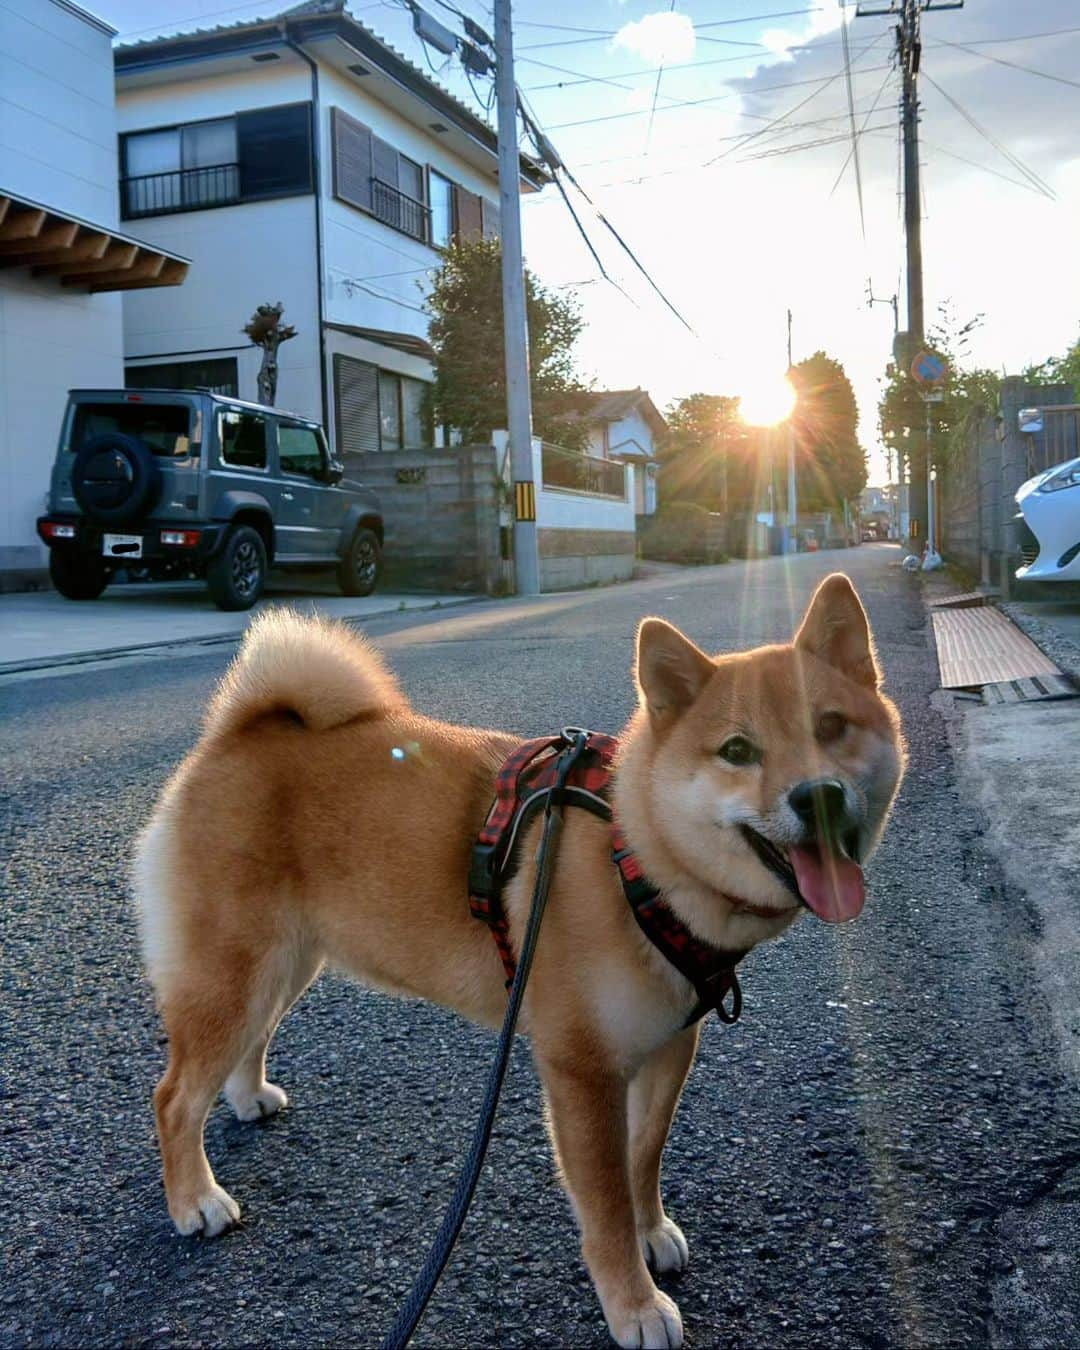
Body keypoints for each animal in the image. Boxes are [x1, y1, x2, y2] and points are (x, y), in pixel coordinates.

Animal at [139, 572, 907, 1350]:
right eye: (738, 750)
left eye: (832, 727)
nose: (818, 795)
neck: (636, 857)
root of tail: (237, 731)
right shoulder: (582, 1068)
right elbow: (604, 1199)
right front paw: (633, 1303)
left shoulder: (668, 1045)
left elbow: (643, 1157)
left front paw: (651, 1231)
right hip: (235, 971)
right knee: (174, 1097)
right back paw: (195, 1199)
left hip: (283, 963)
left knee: (249, 1041)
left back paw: (246, 1098)